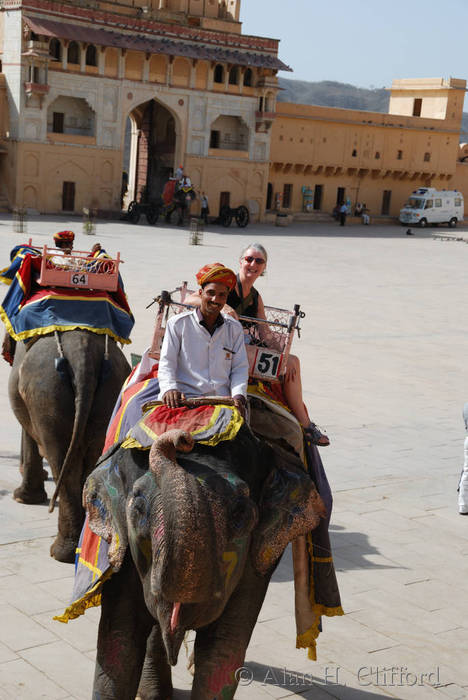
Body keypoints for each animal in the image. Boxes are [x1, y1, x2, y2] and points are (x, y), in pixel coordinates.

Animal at [9, 329, 130, 563]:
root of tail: (82, 355)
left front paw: (21, 498)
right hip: (111, 389)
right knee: (91, 458)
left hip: (46, 392)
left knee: (61, 458)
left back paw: (60, 553)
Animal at [84, 425, 326, 699]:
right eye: (139, 506)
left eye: (240, 512)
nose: (183, 438)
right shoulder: (122, 552)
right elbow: (119, 641)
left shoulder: (256, 560)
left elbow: (223, 650)